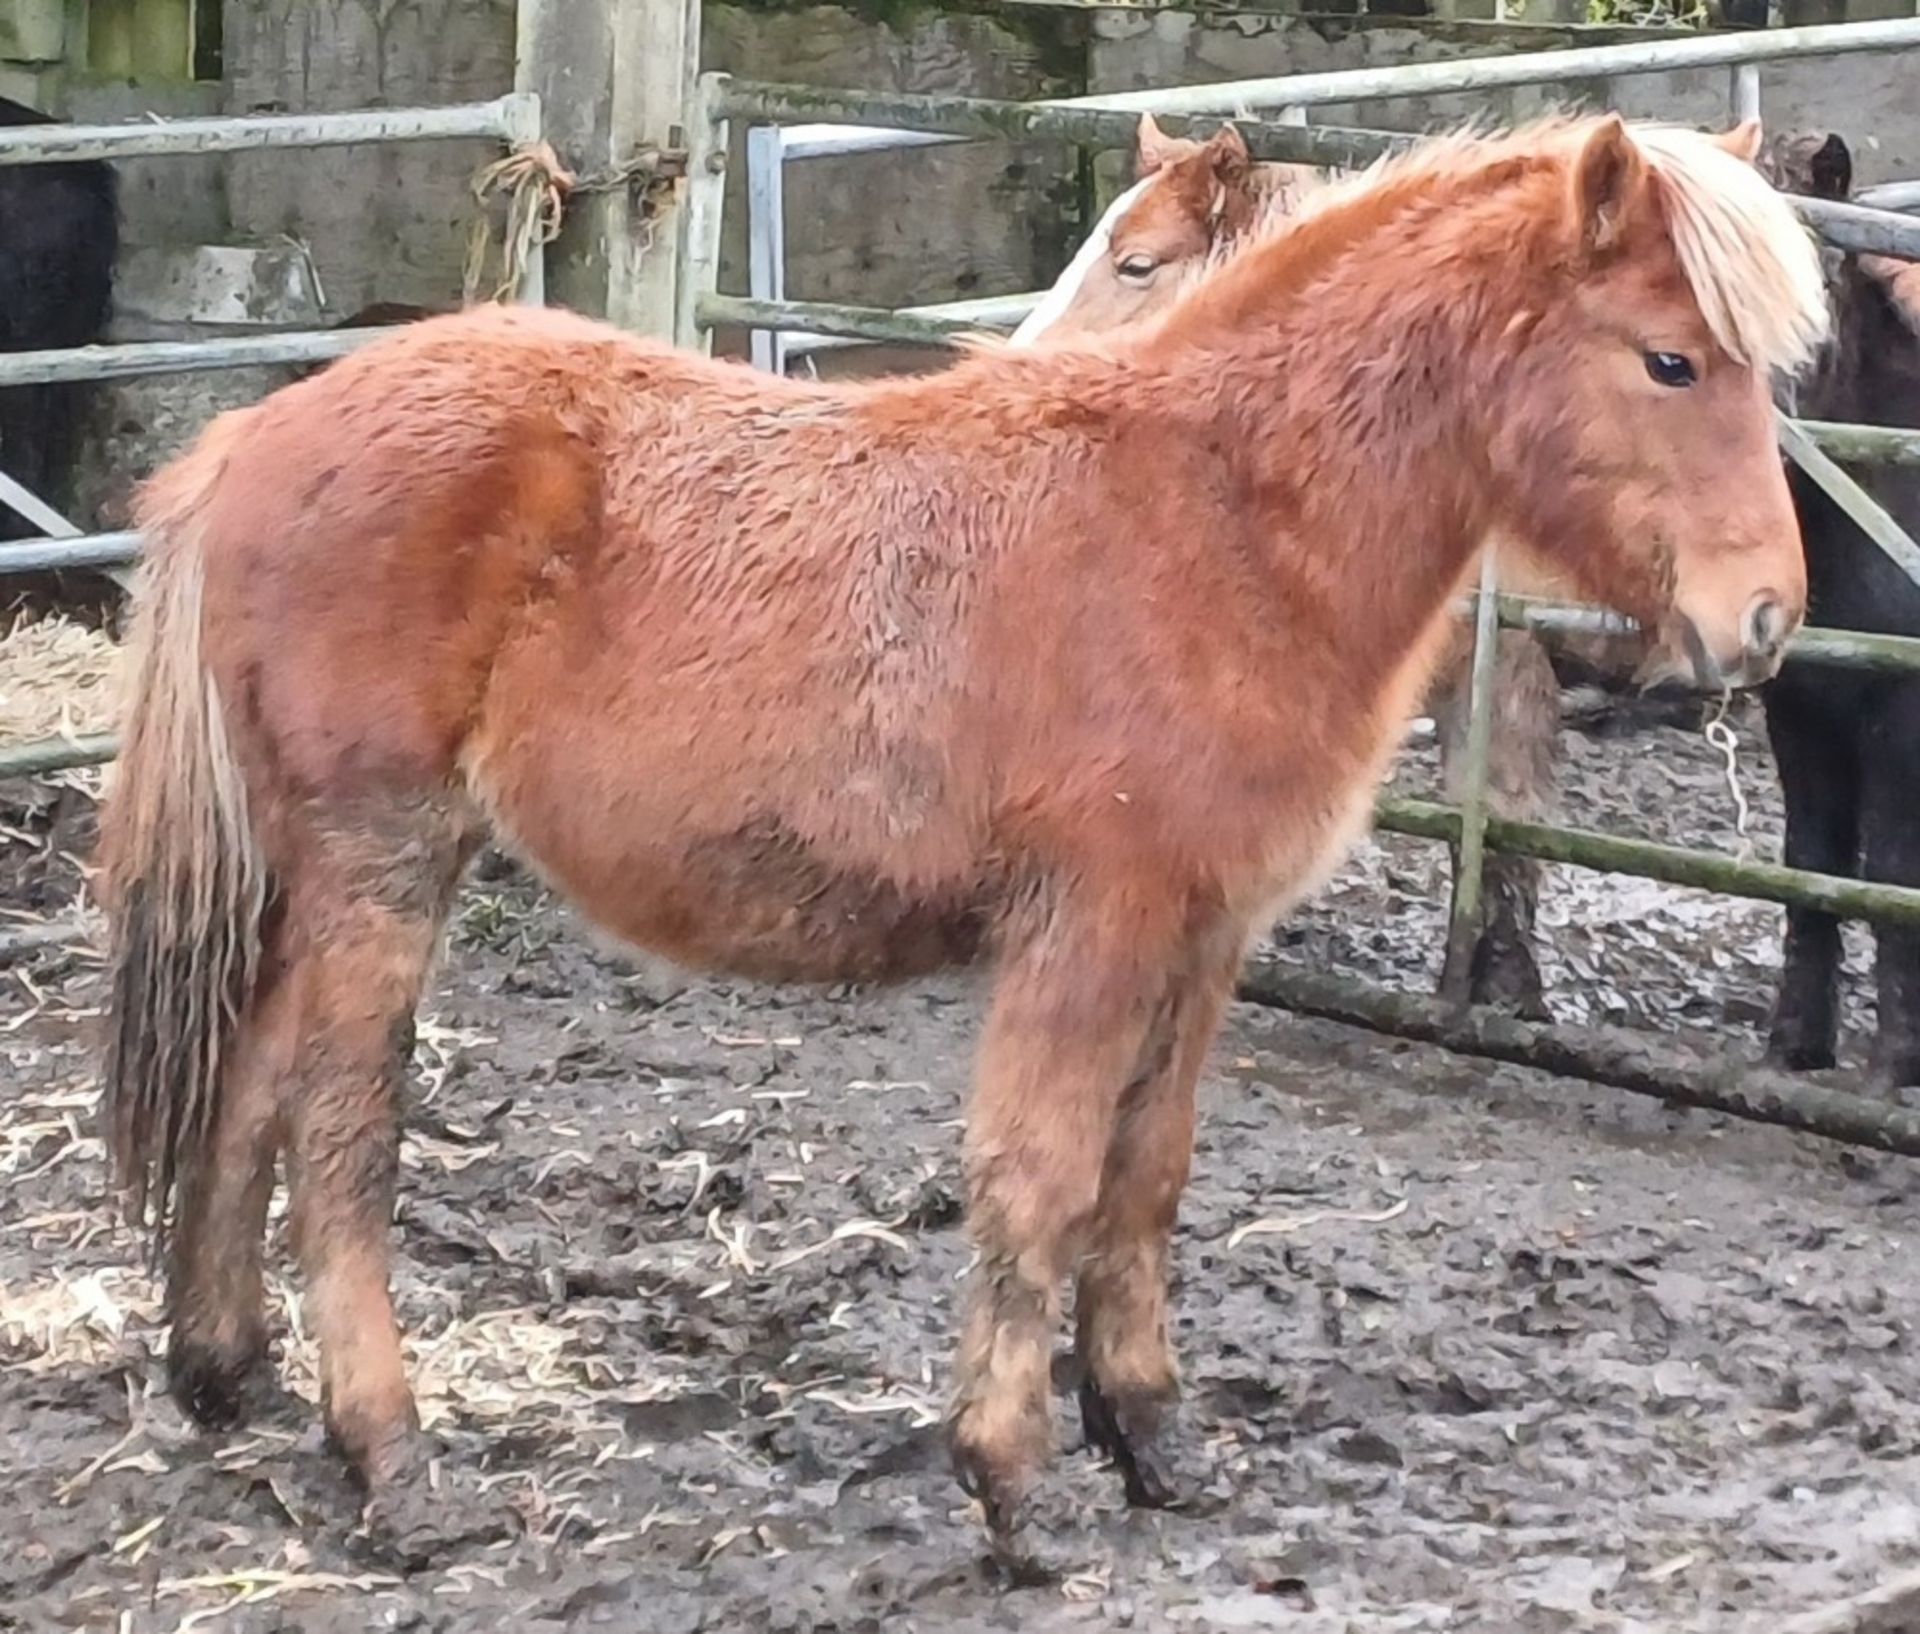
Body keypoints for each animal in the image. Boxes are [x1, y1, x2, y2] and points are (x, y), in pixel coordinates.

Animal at [97, 118, 1820, 1543]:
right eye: (1671, 362)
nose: (1766, 620)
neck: (1217, 516)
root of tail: (250, 442)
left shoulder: (1205, 934)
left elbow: (1147, 1176)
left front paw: (1154, 1439)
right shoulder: (1091, 923)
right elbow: (1040, 1176)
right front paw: (1012, 1479)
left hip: (313, 873)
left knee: (246, 1083)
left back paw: (226, 1372)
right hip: (385, 857)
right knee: (337, 1133)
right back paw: (389, 1455)